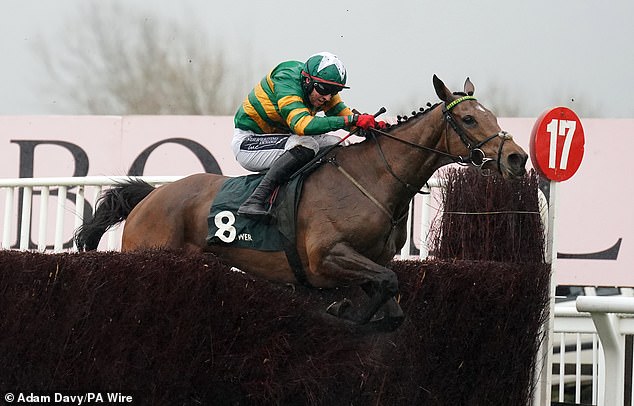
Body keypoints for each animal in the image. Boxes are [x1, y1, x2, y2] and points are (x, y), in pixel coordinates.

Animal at [75, 75, 528, 330]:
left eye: (493, 115)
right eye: (468, 119)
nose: (517, 158)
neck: (373, 179)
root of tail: (151, 197)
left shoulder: (370, 261)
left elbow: (391, 302)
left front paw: (348, 310)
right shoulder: (325, 256)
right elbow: (384, 285)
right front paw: (340, 313)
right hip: (147, 253)